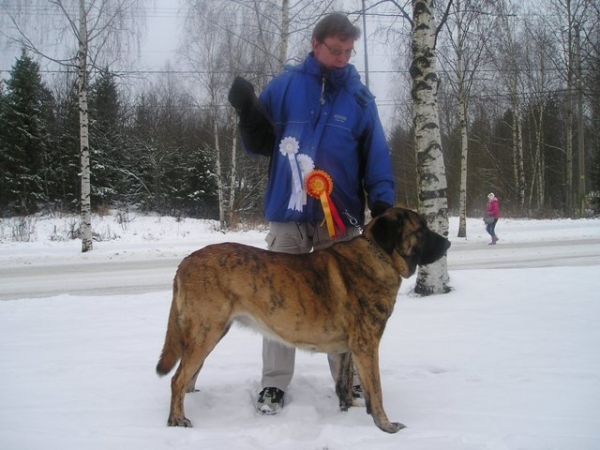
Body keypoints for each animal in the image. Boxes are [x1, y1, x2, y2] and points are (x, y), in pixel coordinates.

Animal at [156, 207, 450, 432]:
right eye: (421, 229)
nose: (447, 243)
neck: (379, 255)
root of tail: (185, 262)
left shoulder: (347, 349)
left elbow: (344, 383)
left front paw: (348, 410)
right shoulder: (367, 346)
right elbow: (375, 391)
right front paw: (386, 426)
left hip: (210, 333)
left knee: (189, 376)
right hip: (206, 331)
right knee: (178, 378)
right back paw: (177, 420)